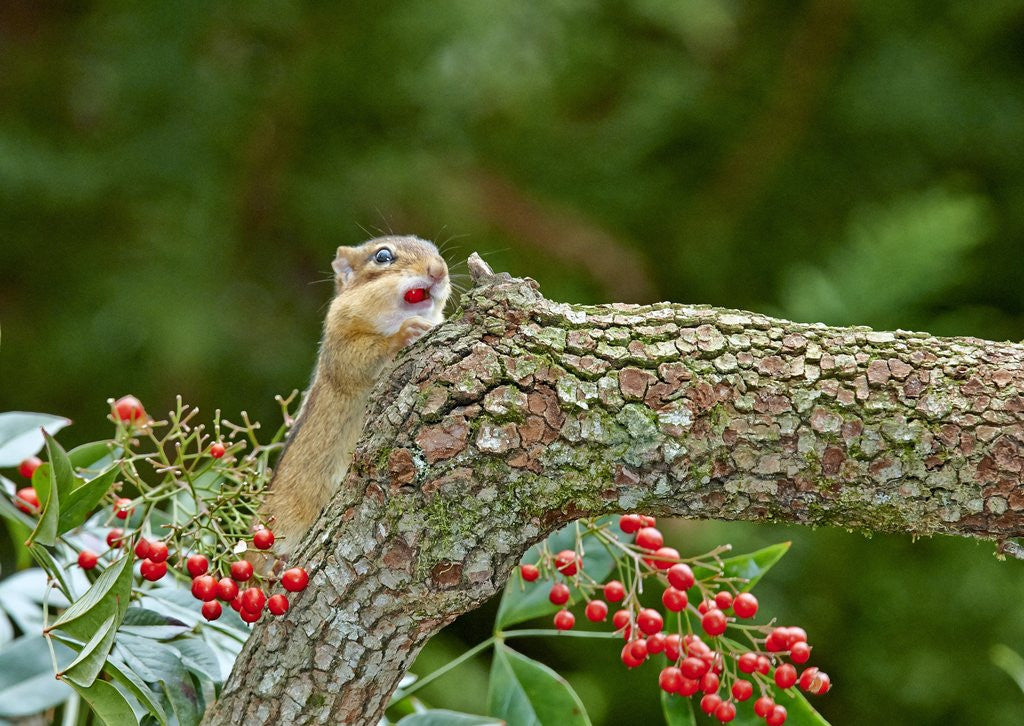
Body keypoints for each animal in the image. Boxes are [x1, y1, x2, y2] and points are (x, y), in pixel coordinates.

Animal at [254, 235, 450, 569]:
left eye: (436, 252)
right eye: (382, 256)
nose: (439, 270)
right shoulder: (342, 345)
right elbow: (363, 357)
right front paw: (405, 333)